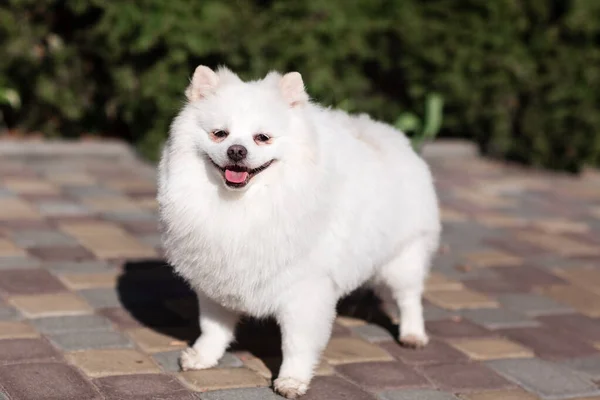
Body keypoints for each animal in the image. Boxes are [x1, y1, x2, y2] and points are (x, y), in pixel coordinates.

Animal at [158, 65, 440, 396]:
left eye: (262, 138)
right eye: (220, 134)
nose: (237, 150)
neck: (245, 205)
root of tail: (389, 135)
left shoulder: (305, 291)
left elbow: (297, 344)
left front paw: (292, 379)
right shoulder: (216, 278)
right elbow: (213, 327)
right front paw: (203, 356)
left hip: (403, 257)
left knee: (409, 297)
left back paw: (412, 334)